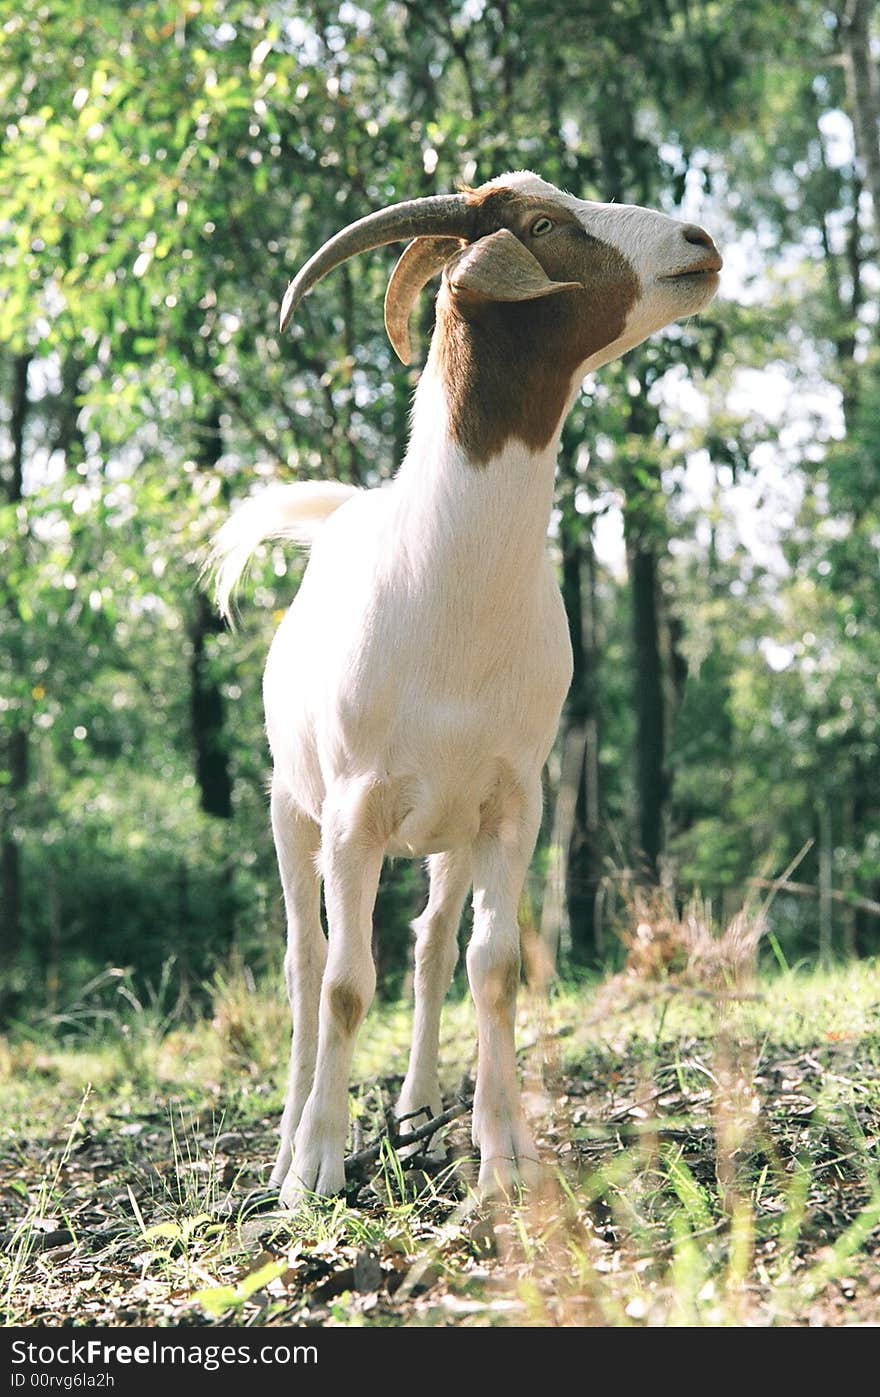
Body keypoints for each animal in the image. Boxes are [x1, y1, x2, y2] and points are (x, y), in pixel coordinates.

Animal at [213, 171, 726, 1201]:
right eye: (541, 223)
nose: (700, 241)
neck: (446, 579)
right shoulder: (353, 812)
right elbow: (344, 983)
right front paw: (317, 1165)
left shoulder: (514, 800)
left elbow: (492, 966)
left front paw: (506, 1153)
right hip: (292, 806)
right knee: (306, 960)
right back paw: (291, 1133)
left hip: (447, 828)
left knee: (429, 946)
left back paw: (416, 1113)